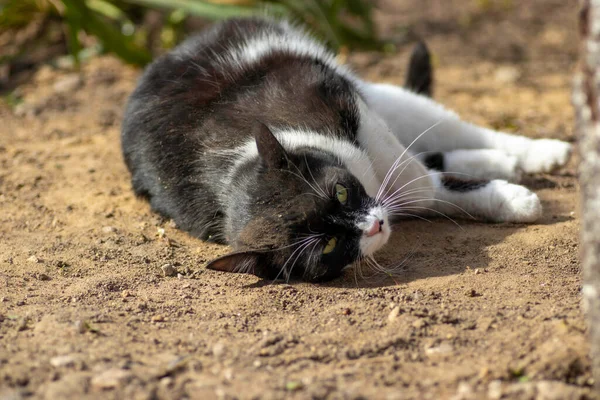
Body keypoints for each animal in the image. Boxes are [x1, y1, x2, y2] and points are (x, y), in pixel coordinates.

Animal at [120, 18, 572, 282]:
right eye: (328, 247)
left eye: (339, 191)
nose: (373, 225)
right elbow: (430, 188)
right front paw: (504, 198)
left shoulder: (328, 92)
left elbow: (412, 176)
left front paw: (512, 198)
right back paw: (500, 164)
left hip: (368, 90)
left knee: (442, 126)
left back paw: (541, 153)